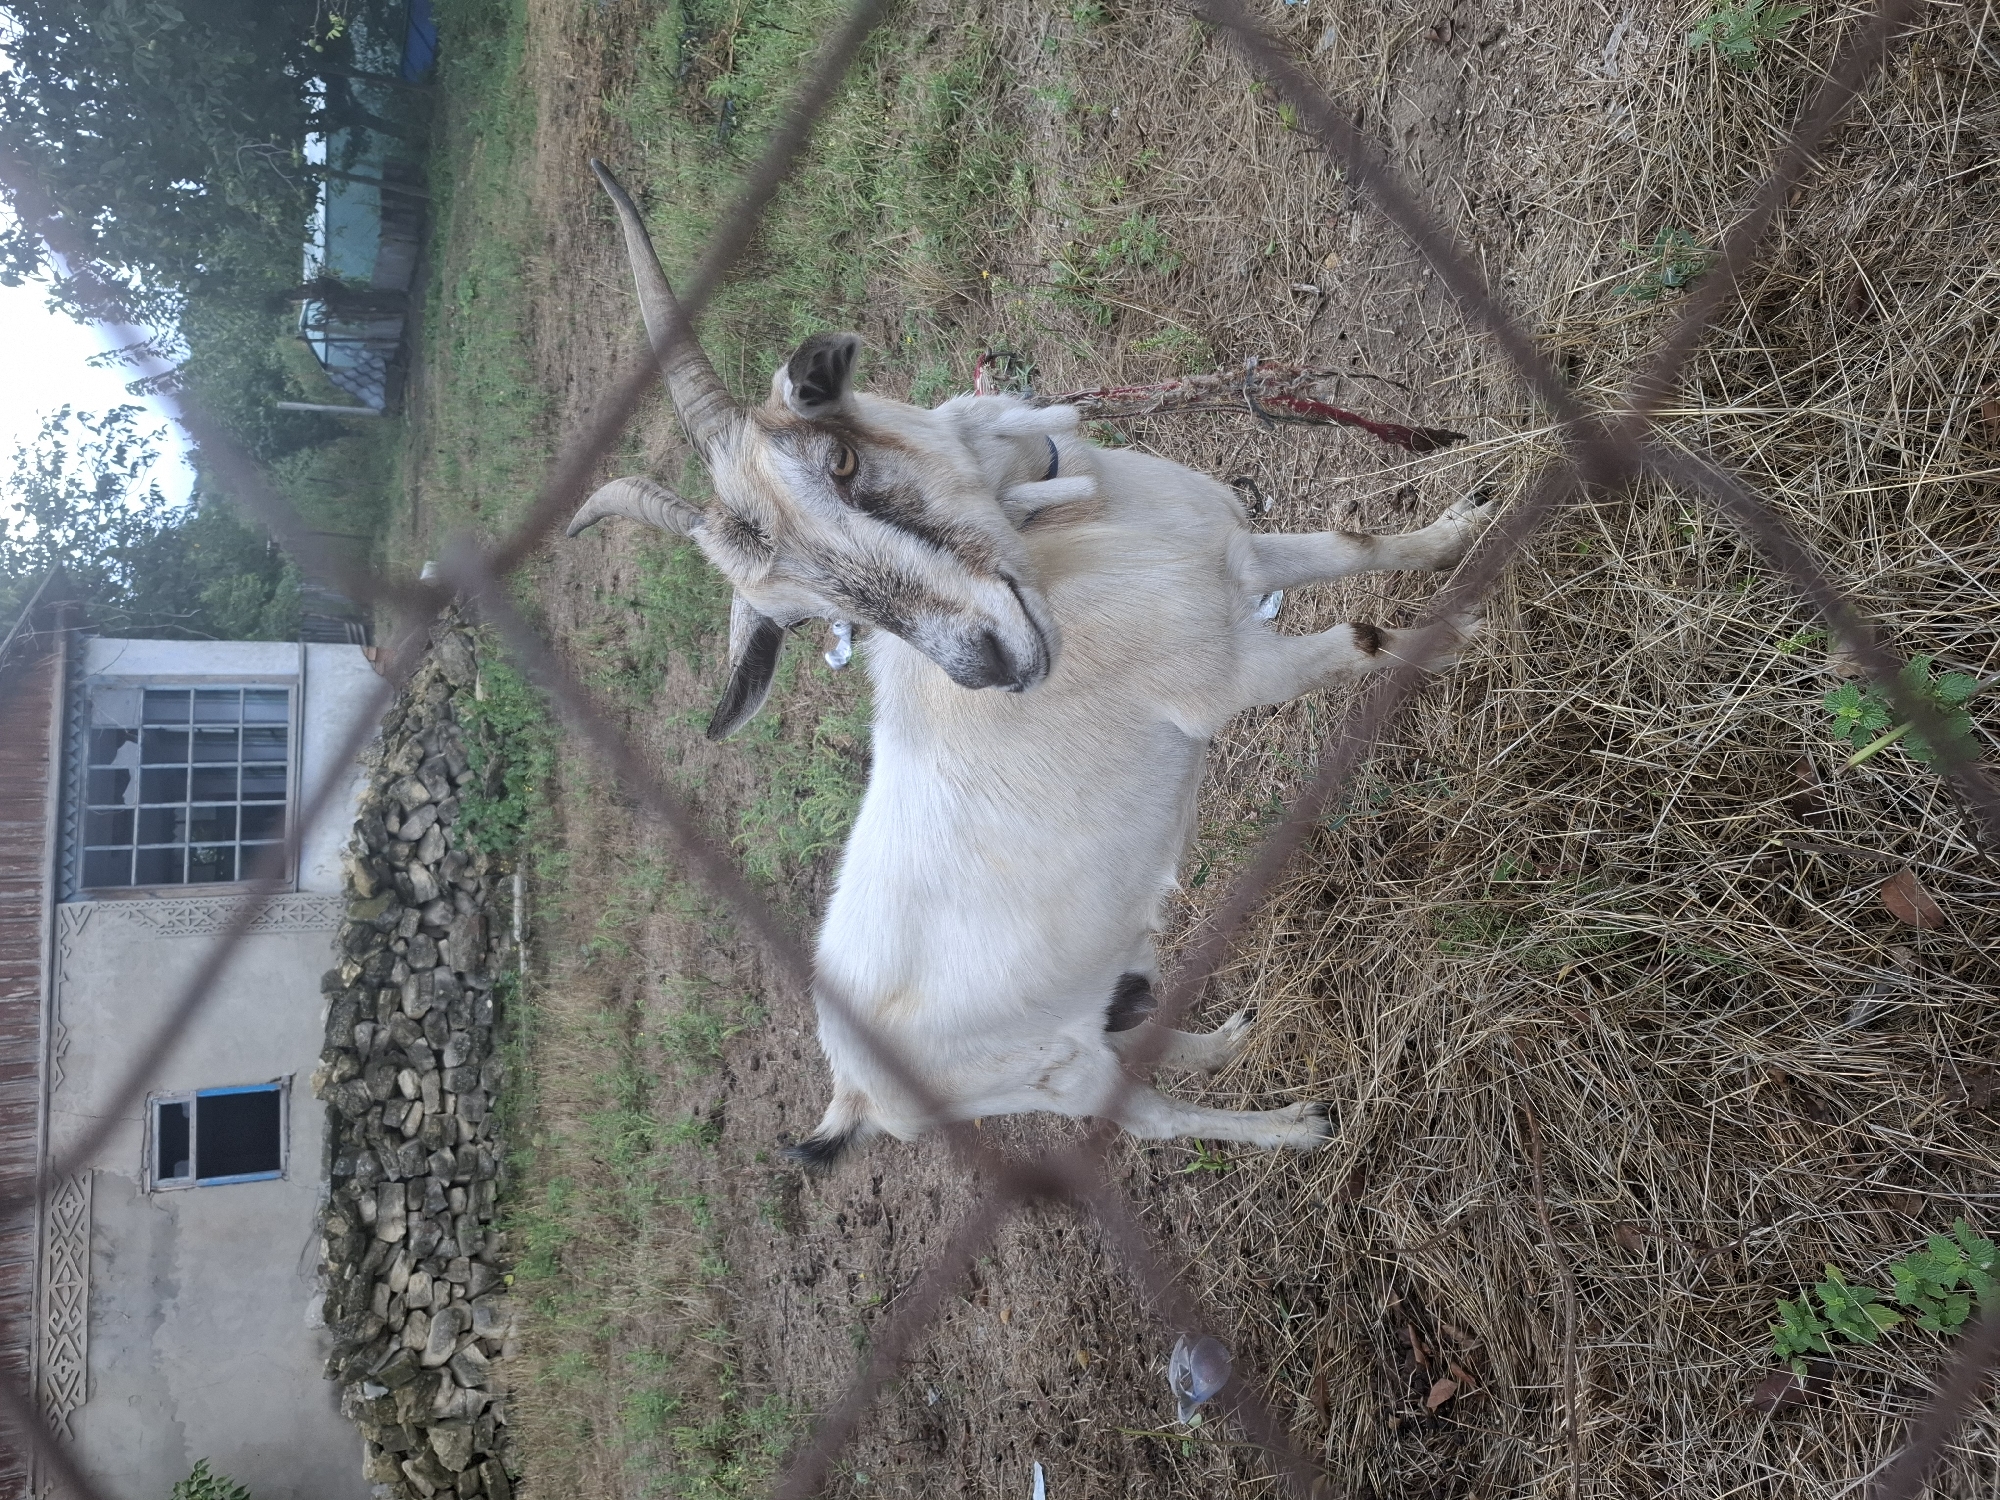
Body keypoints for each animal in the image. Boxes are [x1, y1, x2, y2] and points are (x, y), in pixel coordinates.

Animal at [568, 162, 1489, 1165]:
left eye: (841, 458)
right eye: (810, 614)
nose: (990, 661)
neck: (1073, 537)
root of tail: (852, 1096)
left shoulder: (1235, 558)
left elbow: (1353, 545)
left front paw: (1466, 526)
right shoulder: (1226, 680)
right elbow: (1362, 642)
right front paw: (1471, 633)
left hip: (1101, 985)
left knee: (1135, 1023)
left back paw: (1230, 1038)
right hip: (1046, 1075)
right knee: (1146, 1112)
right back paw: (1296, 1126)